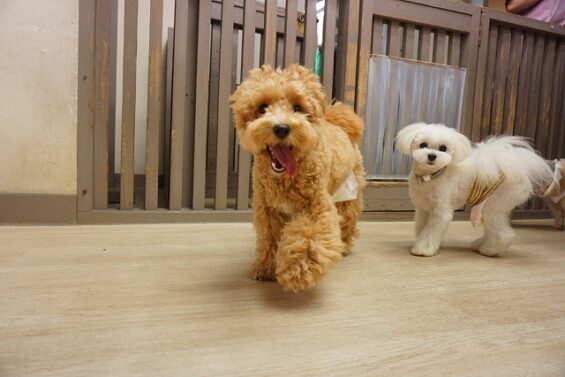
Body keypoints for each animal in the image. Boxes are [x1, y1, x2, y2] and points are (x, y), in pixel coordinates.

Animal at [396, 122, 552, 258]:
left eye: (443, 148)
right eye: (423, 145)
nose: (432, 156)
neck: (431, 176)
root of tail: (518, 167)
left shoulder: (441, 212)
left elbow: (431, 232)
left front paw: (424, 249)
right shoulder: (424, 209)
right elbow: (422, 227)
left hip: (494, 205)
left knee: (504, 234)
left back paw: (490, 250)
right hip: (493, 208)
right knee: (493, 230)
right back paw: (480, 245)